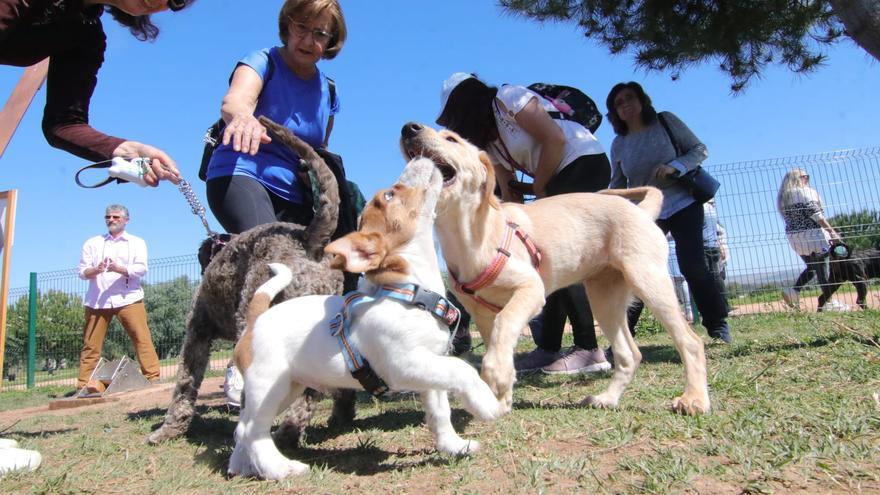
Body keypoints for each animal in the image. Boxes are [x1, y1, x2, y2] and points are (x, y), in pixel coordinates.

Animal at [229, 158, 508, 480]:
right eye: (389, 195)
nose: (419, 157)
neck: (409, 292)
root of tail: (256, 319)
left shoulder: (430, 366)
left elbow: (440, 411)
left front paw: (453, 446)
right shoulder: (404, 364)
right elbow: (462, 369)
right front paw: (487, 403)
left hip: (288, 387)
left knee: (242, 428)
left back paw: (240, 466)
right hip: (268, 386)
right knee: (253, 431)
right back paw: (279, 467)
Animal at [398, 122, 708, 416]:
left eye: (452, 139)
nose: (408, 127)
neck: (468, 238)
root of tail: (642, 211)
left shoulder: (531, 290)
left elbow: (504, 324)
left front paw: (496, 374)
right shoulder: (480, 313)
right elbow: (496, 340)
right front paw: (501, 395)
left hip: (649, 280)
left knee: (691, 342)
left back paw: (694, 399)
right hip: (605, 298)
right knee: (629, 355)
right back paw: (607, 399)